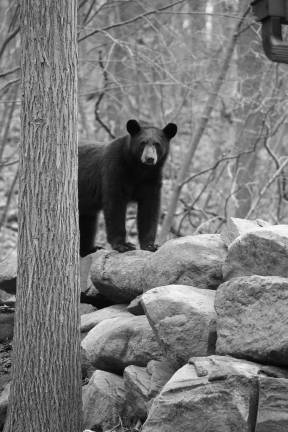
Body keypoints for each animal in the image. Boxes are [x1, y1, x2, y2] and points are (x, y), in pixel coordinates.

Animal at [79, 119, 178, 256]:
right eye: (142, 143)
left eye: (157, 144)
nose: (149, 158)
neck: (139, 169)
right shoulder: (114, 170)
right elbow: (115, 205)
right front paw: (123, 245)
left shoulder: (152, 179)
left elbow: (149, 209)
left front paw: (150, 245)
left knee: (87, 220)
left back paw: (89, 250)